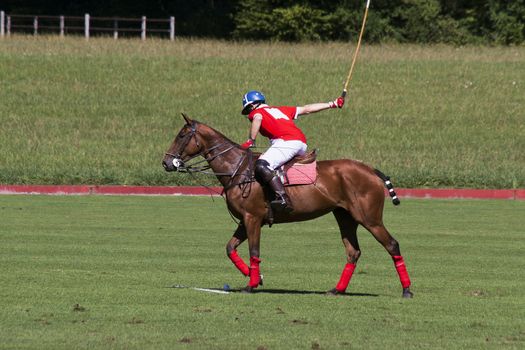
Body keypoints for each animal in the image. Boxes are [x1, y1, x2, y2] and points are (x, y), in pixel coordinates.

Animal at [162, 115, 412, 298]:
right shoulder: (245, 220)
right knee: (353, 251)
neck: (237, 169)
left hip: (369, 217)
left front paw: (251, 284)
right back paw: (337, 289)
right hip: (344, 216)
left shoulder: (253, 218)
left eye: (181, 135)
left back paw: (407, 290)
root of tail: (371, 170)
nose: (166, 163)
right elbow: (230, 248)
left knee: (392, 244)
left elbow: (254, 251)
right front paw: (256, 277)